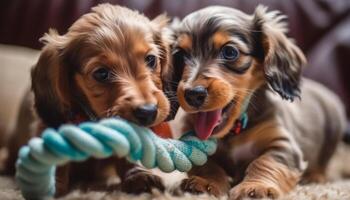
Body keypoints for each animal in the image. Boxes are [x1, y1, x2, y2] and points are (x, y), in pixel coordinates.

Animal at [174, 5, 346, 199]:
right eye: (180, 55)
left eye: (230, 52)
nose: (193, 94)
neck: (233, 131)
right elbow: (206, 164)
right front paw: (206, 183)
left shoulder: (282, 144)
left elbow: (265, 162)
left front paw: (256, 187)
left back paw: (315, 176)